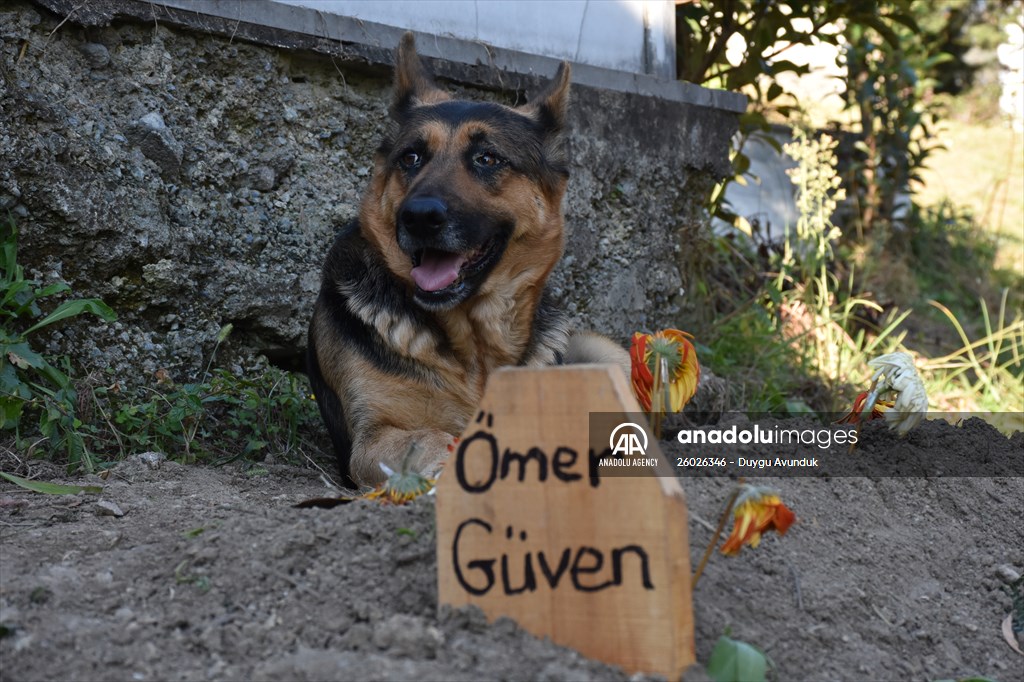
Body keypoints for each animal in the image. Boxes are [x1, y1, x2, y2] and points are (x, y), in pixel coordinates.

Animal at [305, 34, 622, 485]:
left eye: (487, 158)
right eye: (410, 158)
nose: (418, 217)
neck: (474, 349)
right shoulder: (371, 440)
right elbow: (432, 438)